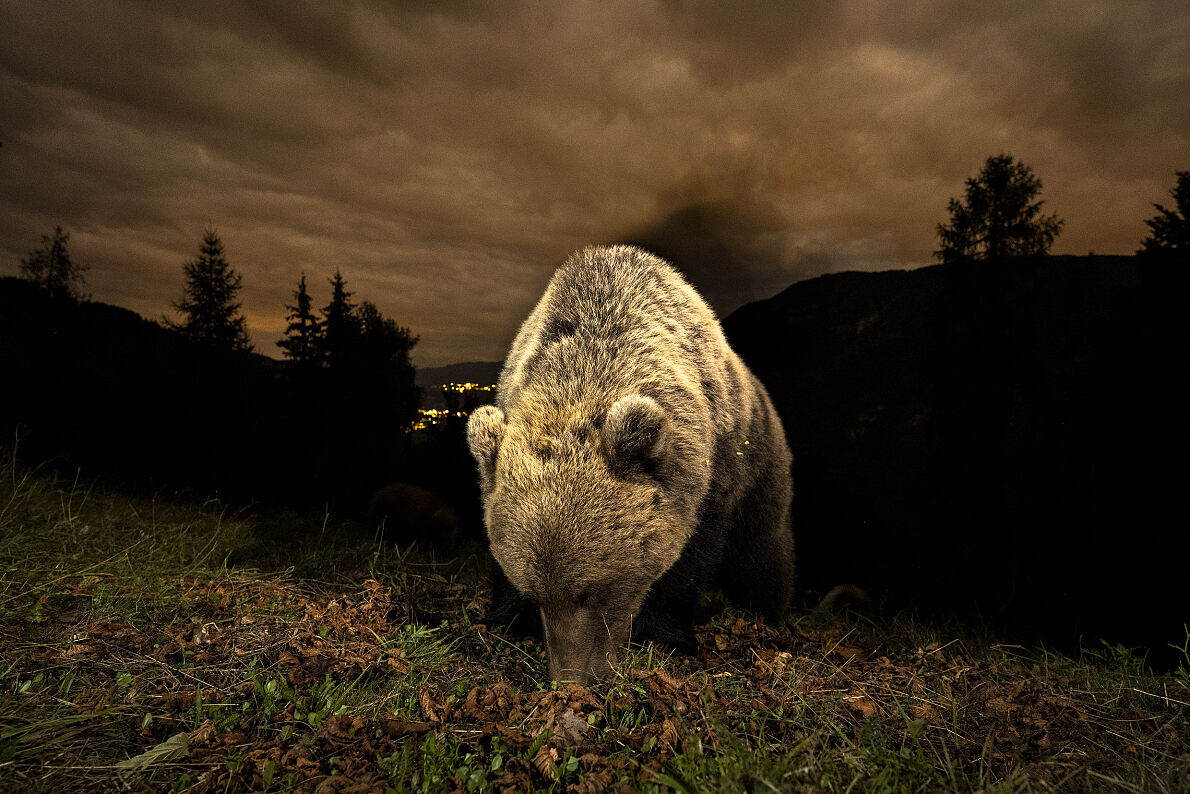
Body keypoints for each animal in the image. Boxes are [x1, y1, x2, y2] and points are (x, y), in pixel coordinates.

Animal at [467, 245, 794, 683]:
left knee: (762, 554)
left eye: (593, 590)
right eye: (535, 593)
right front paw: (505, 617)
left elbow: (688, 562)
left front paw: (666, 635)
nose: (571, 679)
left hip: (762, 468)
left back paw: (771, 616)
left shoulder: (711, 478)